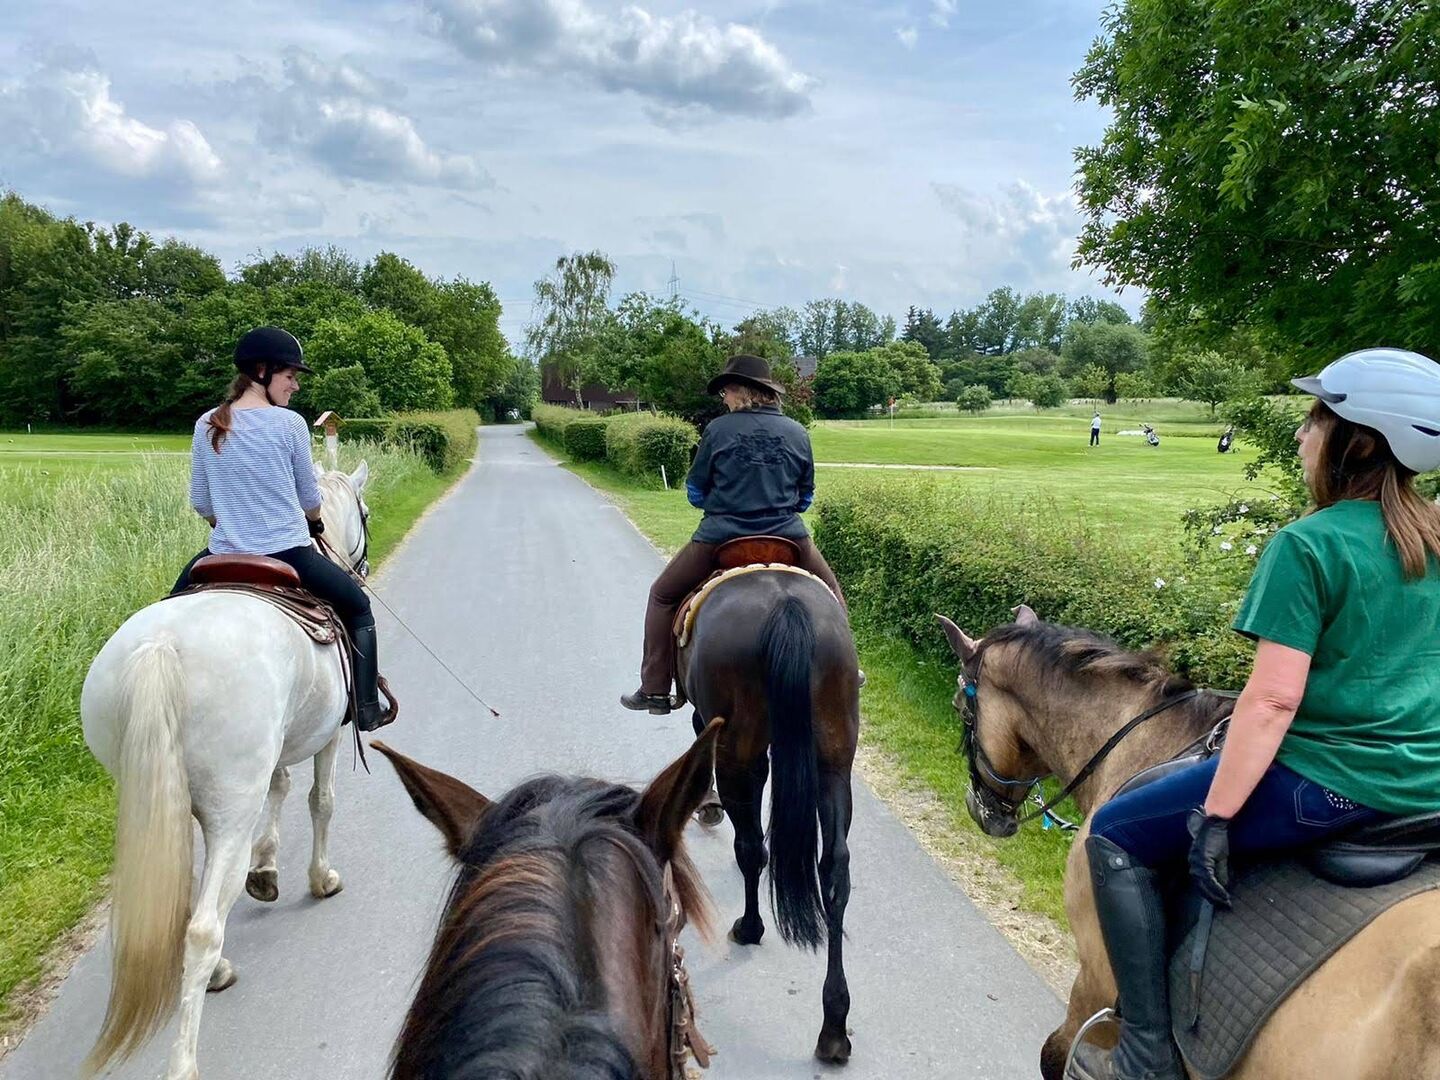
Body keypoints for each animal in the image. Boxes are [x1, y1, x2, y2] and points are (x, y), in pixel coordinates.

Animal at [78, 460, 372, 1080]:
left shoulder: (278, 750)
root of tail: (161, 647)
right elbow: (321, 801)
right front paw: (319, 879)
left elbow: (282, 784)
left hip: (158, 798)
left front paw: (268, 869)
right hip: (229, 808)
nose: (360, 567)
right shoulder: (329, 735)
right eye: (365, 512)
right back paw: (188, 1051)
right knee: (203, 926)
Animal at [678, 568, 860, 1064]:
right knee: (834, 870)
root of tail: (787, 606)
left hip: (739, 749)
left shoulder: (711, 724)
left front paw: (706, 805)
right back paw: (834, 1025)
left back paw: (749, 927)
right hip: (833, 758)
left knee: (750, 848)